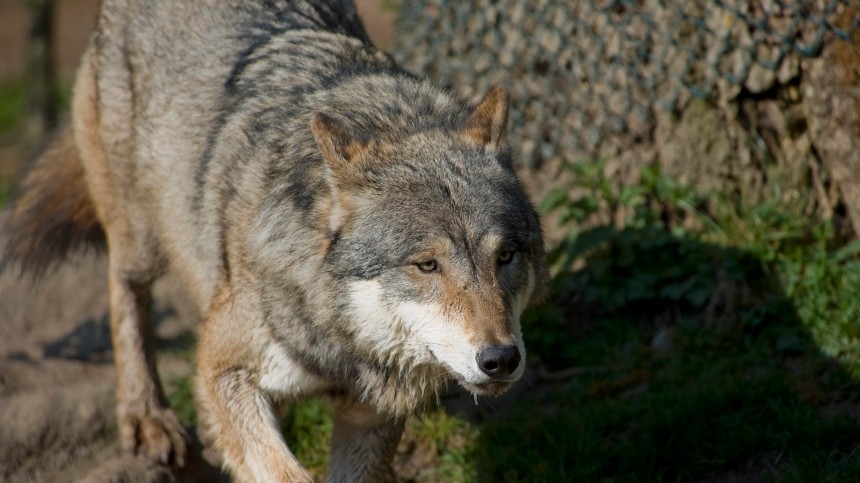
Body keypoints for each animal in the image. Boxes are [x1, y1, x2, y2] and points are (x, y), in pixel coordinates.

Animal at [3, 0, 548, 480]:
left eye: (506, 257)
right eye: (427, 265)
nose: (501, 359)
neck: (339, 340)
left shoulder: (369, 419)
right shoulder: (221, 365)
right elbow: (284, 471)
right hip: (142, 236)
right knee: (123, 289)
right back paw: (146, 415)